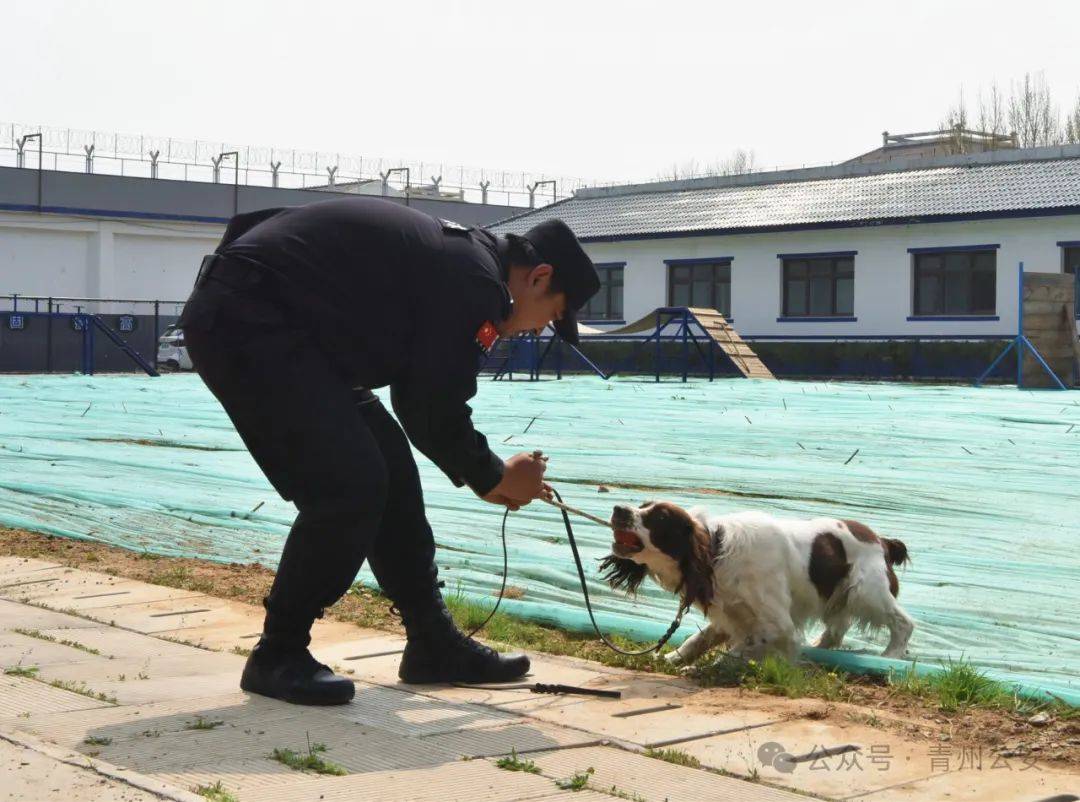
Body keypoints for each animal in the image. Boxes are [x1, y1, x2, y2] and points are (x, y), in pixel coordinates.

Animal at [600, 500, 911, 664]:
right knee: (837, 629)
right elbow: (698, 639)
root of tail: (882, 540)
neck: (718, 552)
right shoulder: (731, 611)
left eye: (660, 517)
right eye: (642, 506)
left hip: (866, 591)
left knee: (903, 623)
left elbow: (737, 652)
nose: (618, 509)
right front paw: (670, 659)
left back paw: (891, 655)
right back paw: (819, 647)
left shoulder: (778, 626)